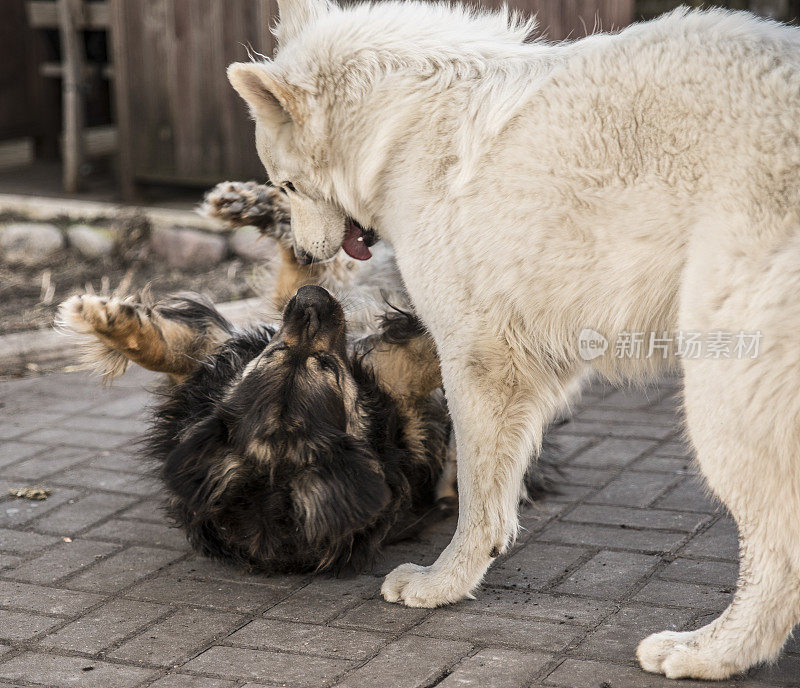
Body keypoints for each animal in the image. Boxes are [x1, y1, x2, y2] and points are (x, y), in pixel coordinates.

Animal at [59, 183, 552, 576]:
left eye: (273, 356)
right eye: (321, 368)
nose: (311, 304)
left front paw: (102, 316)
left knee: (307, 251)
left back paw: (250, 205)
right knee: (310, 256)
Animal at [225, 2, 800, 680]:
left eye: (285, 185)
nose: (310, 257)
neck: (401, 132)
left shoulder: (475, 360)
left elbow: (476, 491)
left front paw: (444, 582)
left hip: (718, 402)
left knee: (776, 555)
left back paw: (709, 652)